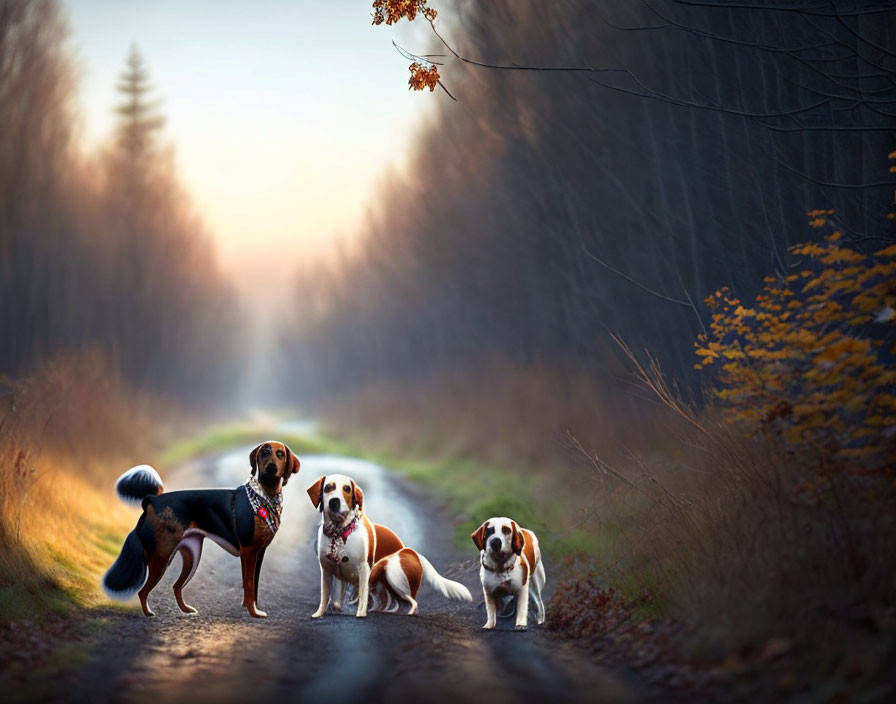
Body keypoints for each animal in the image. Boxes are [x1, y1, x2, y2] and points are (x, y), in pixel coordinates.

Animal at [100, 442, 300, 620]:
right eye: (264, 452)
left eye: (280, 454)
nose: (271, 467)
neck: (265, 496)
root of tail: (152, 499)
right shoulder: (249, 552)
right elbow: (250, 586)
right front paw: (253, 612)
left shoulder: (259, 552)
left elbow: (253, 586)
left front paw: (252, 609)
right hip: (161, 556)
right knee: (143, 591)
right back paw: (149, 613)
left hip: (191, 556)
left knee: (176, 586)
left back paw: (186, 610)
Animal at [308, 472, 406, 616]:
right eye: (328, 487)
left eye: (347, 489)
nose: (334, 502)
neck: (338, 533)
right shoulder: (326, 570)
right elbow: (326, 596)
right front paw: (320, 613)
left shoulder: (364, 569)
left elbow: (362, 595)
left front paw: (360, 614)